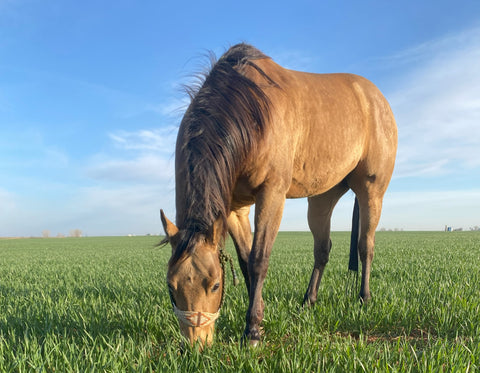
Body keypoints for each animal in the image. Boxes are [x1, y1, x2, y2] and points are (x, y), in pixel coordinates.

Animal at [161, 43, 398, 346]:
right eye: (171, 287)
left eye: (215, 284)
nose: (196, 344)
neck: (249, 112)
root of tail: (376, 96)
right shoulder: (234, 210)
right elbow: (245, 260)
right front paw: (258, 315)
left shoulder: (272, 193)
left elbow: (259, 259)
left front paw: (252, 330)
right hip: (322, 198)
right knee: (322, 249)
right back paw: (309, 300)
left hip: (371, 192)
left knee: (365, 245)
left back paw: (364, 298)